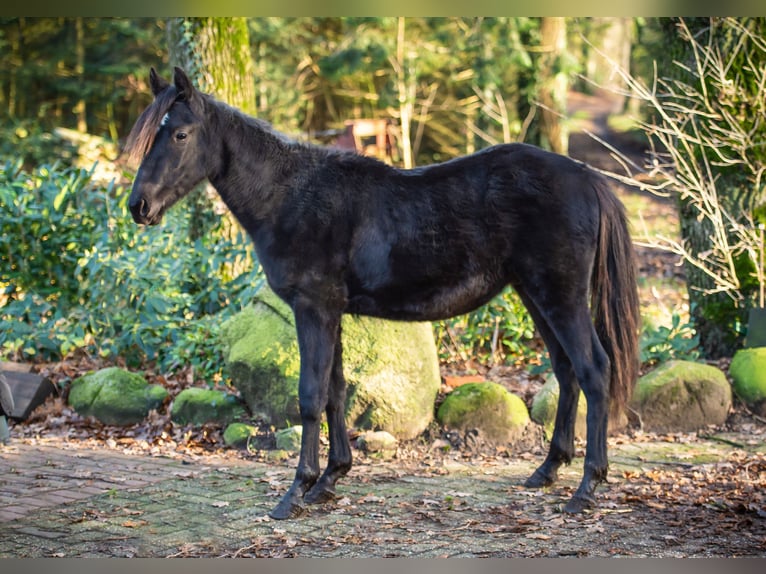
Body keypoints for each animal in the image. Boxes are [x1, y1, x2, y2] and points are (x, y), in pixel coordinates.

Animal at [126, 67, 640, 520]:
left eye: (180, 135)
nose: (138, 206)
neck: (291, 195)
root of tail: (586, 177)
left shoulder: (313, 309)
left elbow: (310, 396)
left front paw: (296, 492)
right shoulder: (331, 313)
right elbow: (335, 392)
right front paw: (330, 480)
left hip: (561, 298)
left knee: (594, 370)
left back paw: (587, 487)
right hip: (536, 296)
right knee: (567, 371)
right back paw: (548, 470)